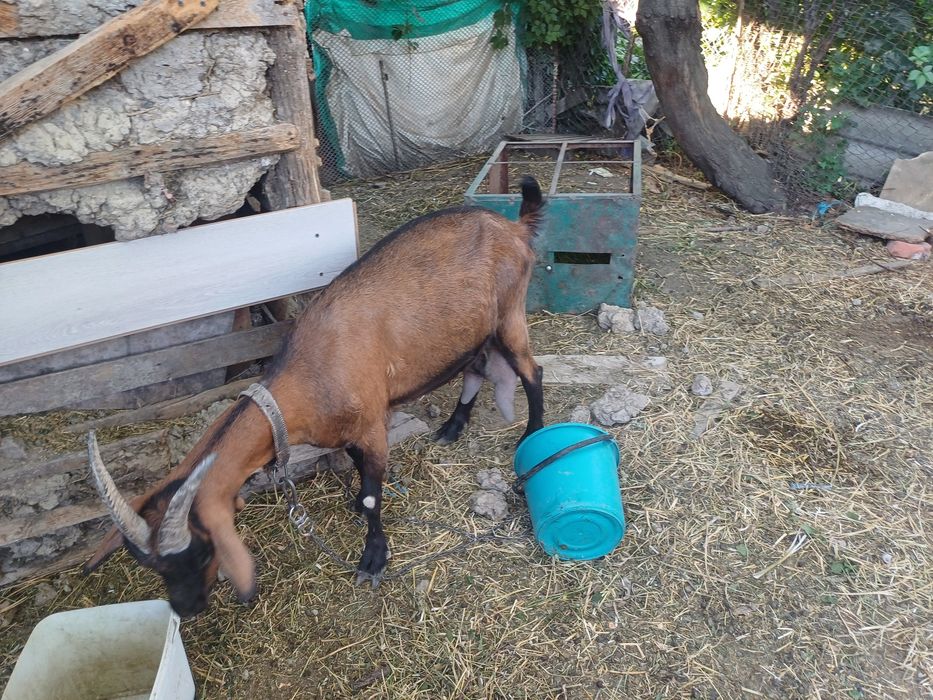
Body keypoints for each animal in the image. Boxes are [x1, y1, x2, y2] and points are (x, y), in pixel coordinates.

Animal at [84, 177, 546, 617]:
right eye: (153, 566)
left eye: (199, 552)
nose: (186, 608)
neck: (308, 379)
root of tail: (515, 227)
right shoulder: (351, 432)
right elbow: (360, 473)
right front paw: (358, 506)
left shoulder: (373, 424)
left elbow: (374, 495)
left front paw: (373, 559)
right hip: (474, 330)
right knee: (477, 367)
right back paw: (452, 427)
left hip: (510, 311)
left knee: (532, 372)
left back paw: (532, 436)